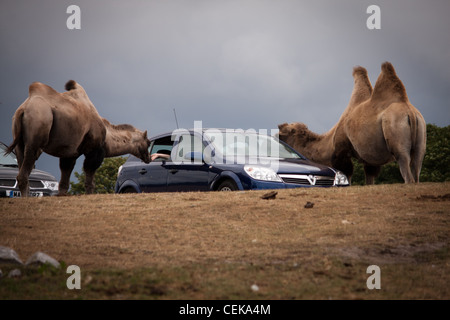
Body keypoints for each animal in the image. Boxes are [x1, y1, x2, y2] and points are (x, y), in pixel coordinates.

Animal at [6, 80, 151, 196]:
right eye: (148, 143)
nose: (149, 158)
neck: (107, 138)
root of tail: (23, 109)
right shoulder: (94, 152)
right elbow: (89, 179)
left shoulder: (69, 153)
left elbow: (64, 183)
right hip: (37, 129)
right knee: (25, 172)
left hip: (19, 142)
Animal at [278, 61, 426, 184]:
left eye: (284, 132)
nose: (277, 129)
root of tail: (410, 112)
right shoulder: (369, 158)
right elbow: (369, 178)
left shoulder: (342, 150)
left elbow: (347, 173)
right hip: (421, 137)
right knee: (417, 166)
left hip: (396, 134)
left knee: (406, 168)